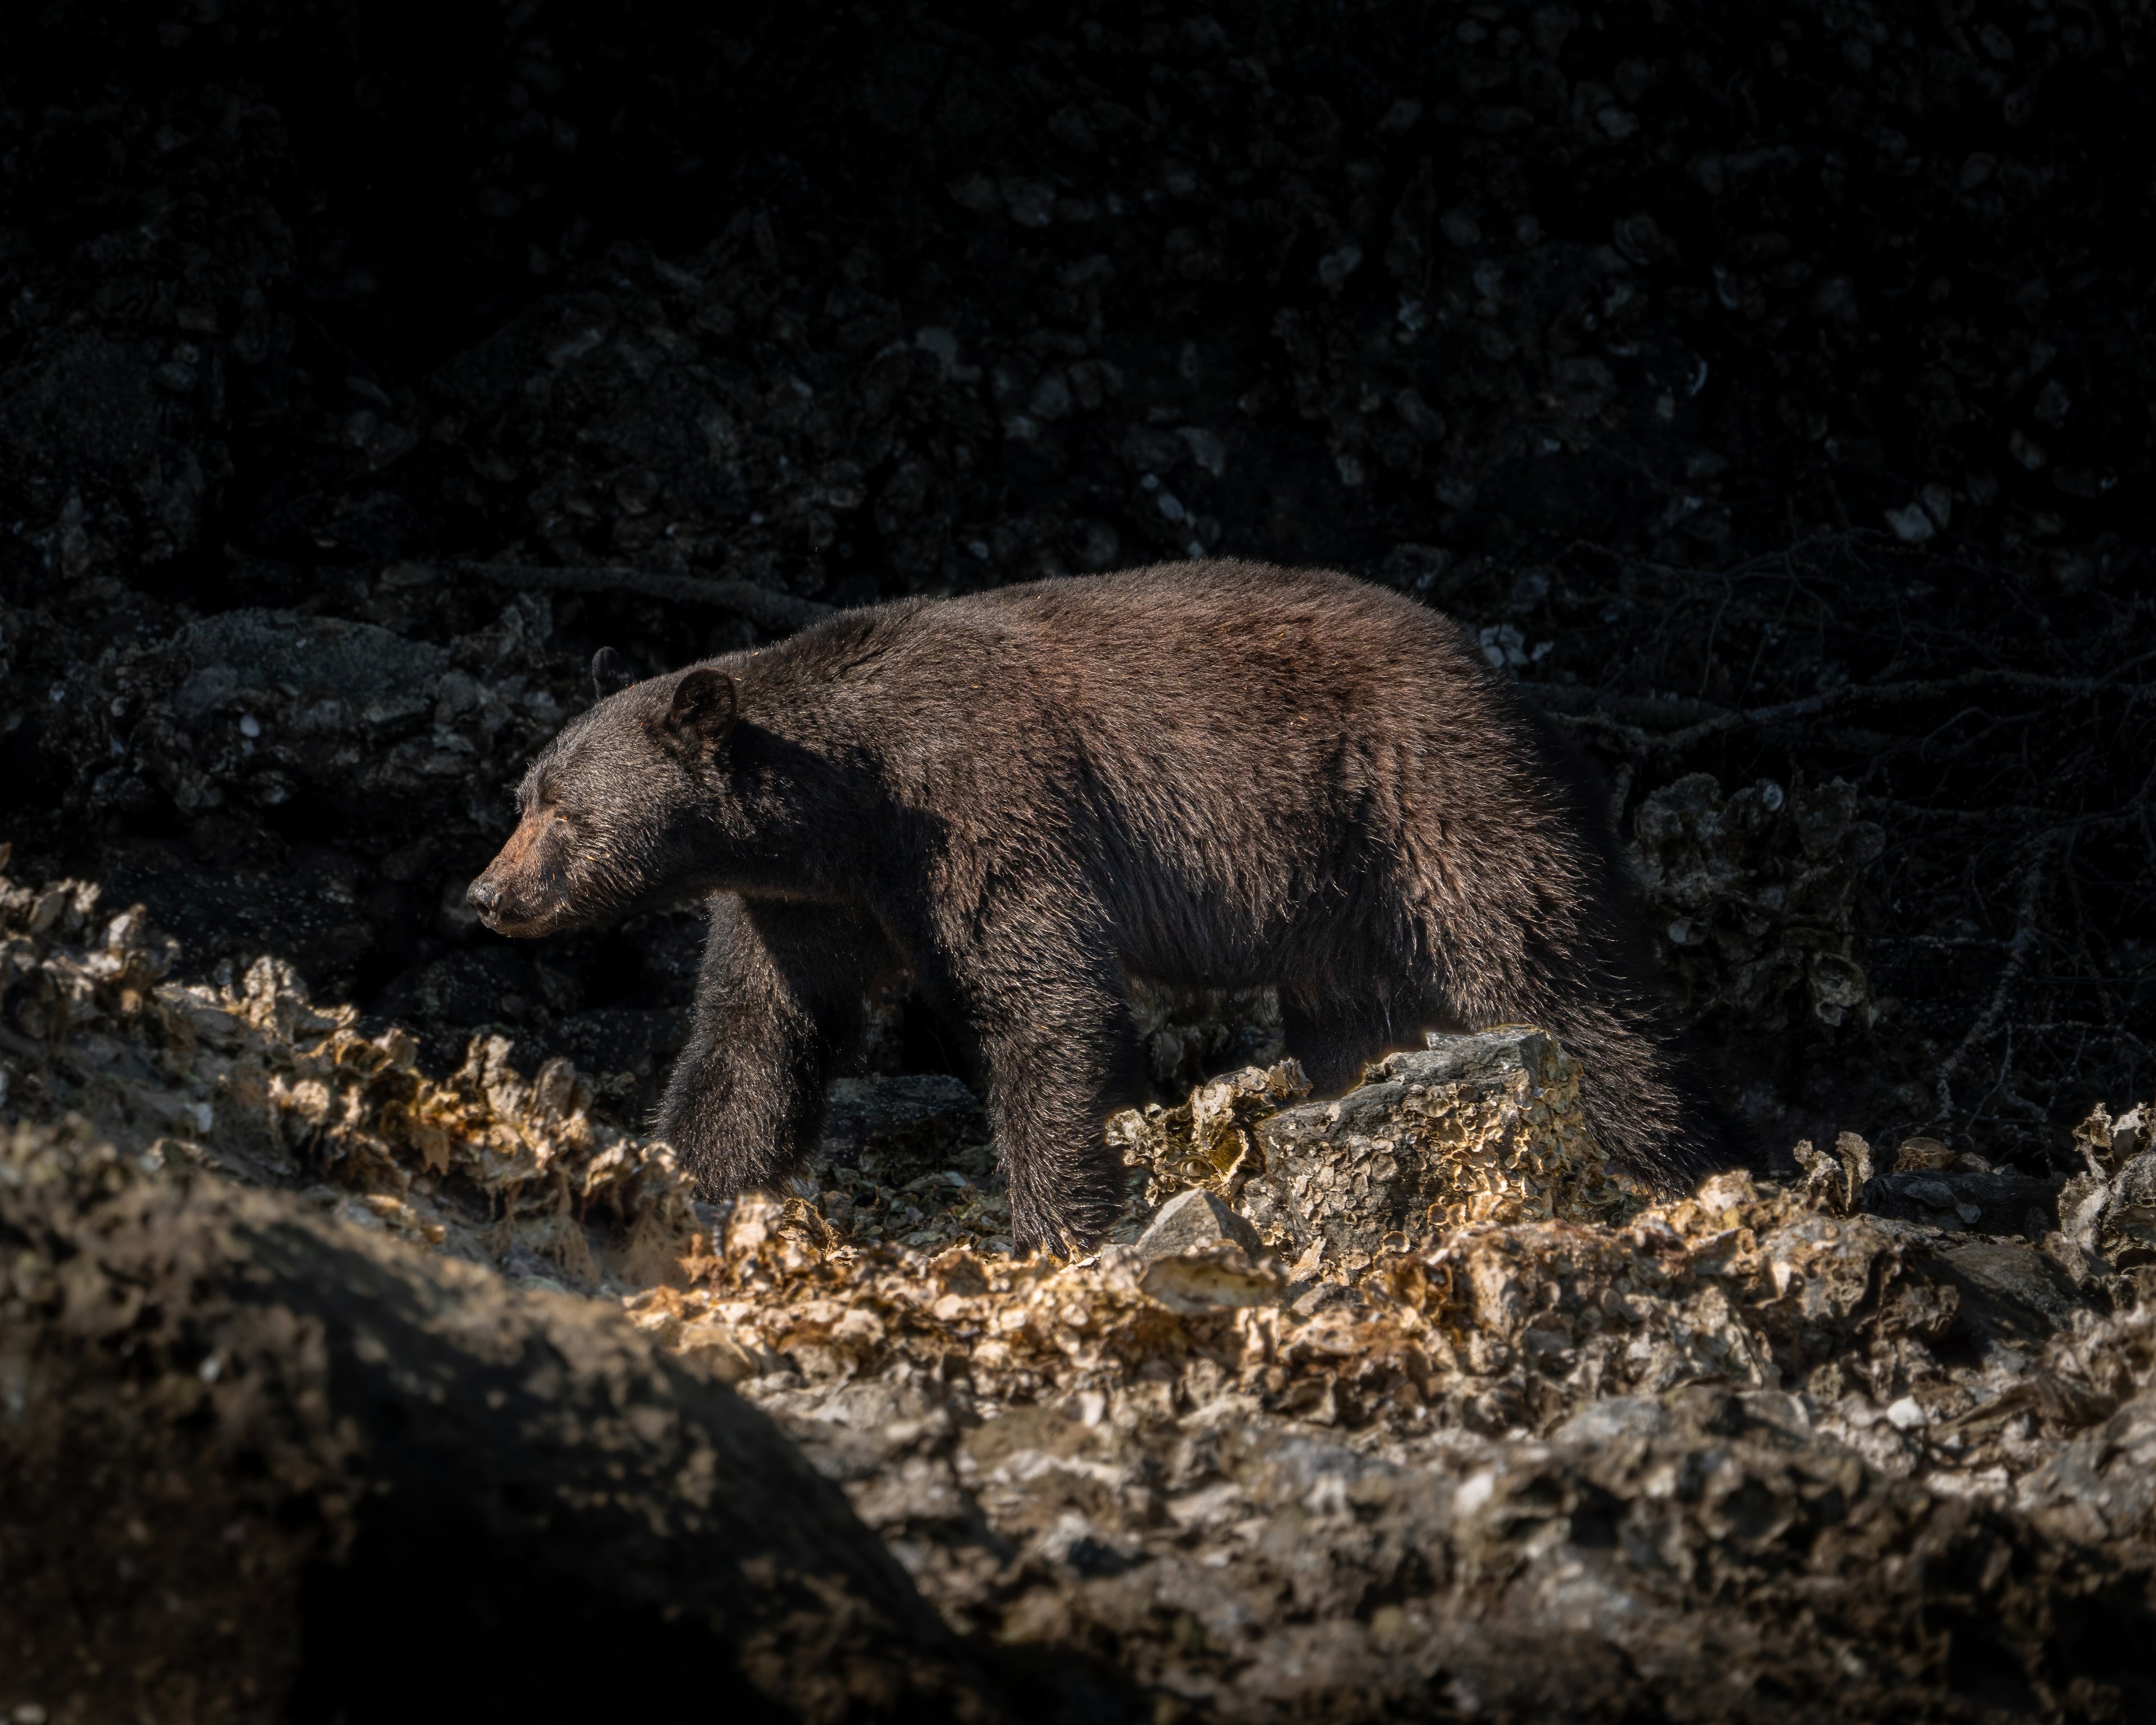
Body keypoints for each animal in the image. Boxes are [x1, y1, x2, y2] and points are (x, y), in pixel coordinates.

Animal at [467, 560, 1729, 1251]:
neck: (843, 803)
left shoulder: (983, 808)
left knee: (1553, 968)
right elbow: (752, 1038)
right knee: (1352, 1015)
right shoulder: (802, 903)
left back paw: (1648, 1154)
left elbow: (1044, 1000)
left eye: (564, 812)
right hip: (1340, 897)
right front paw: (677, 1177)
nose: (487, 895)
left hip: (1430, 799)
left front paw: (1058, 1218)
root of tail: (1512, 686)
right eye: (521, 796)